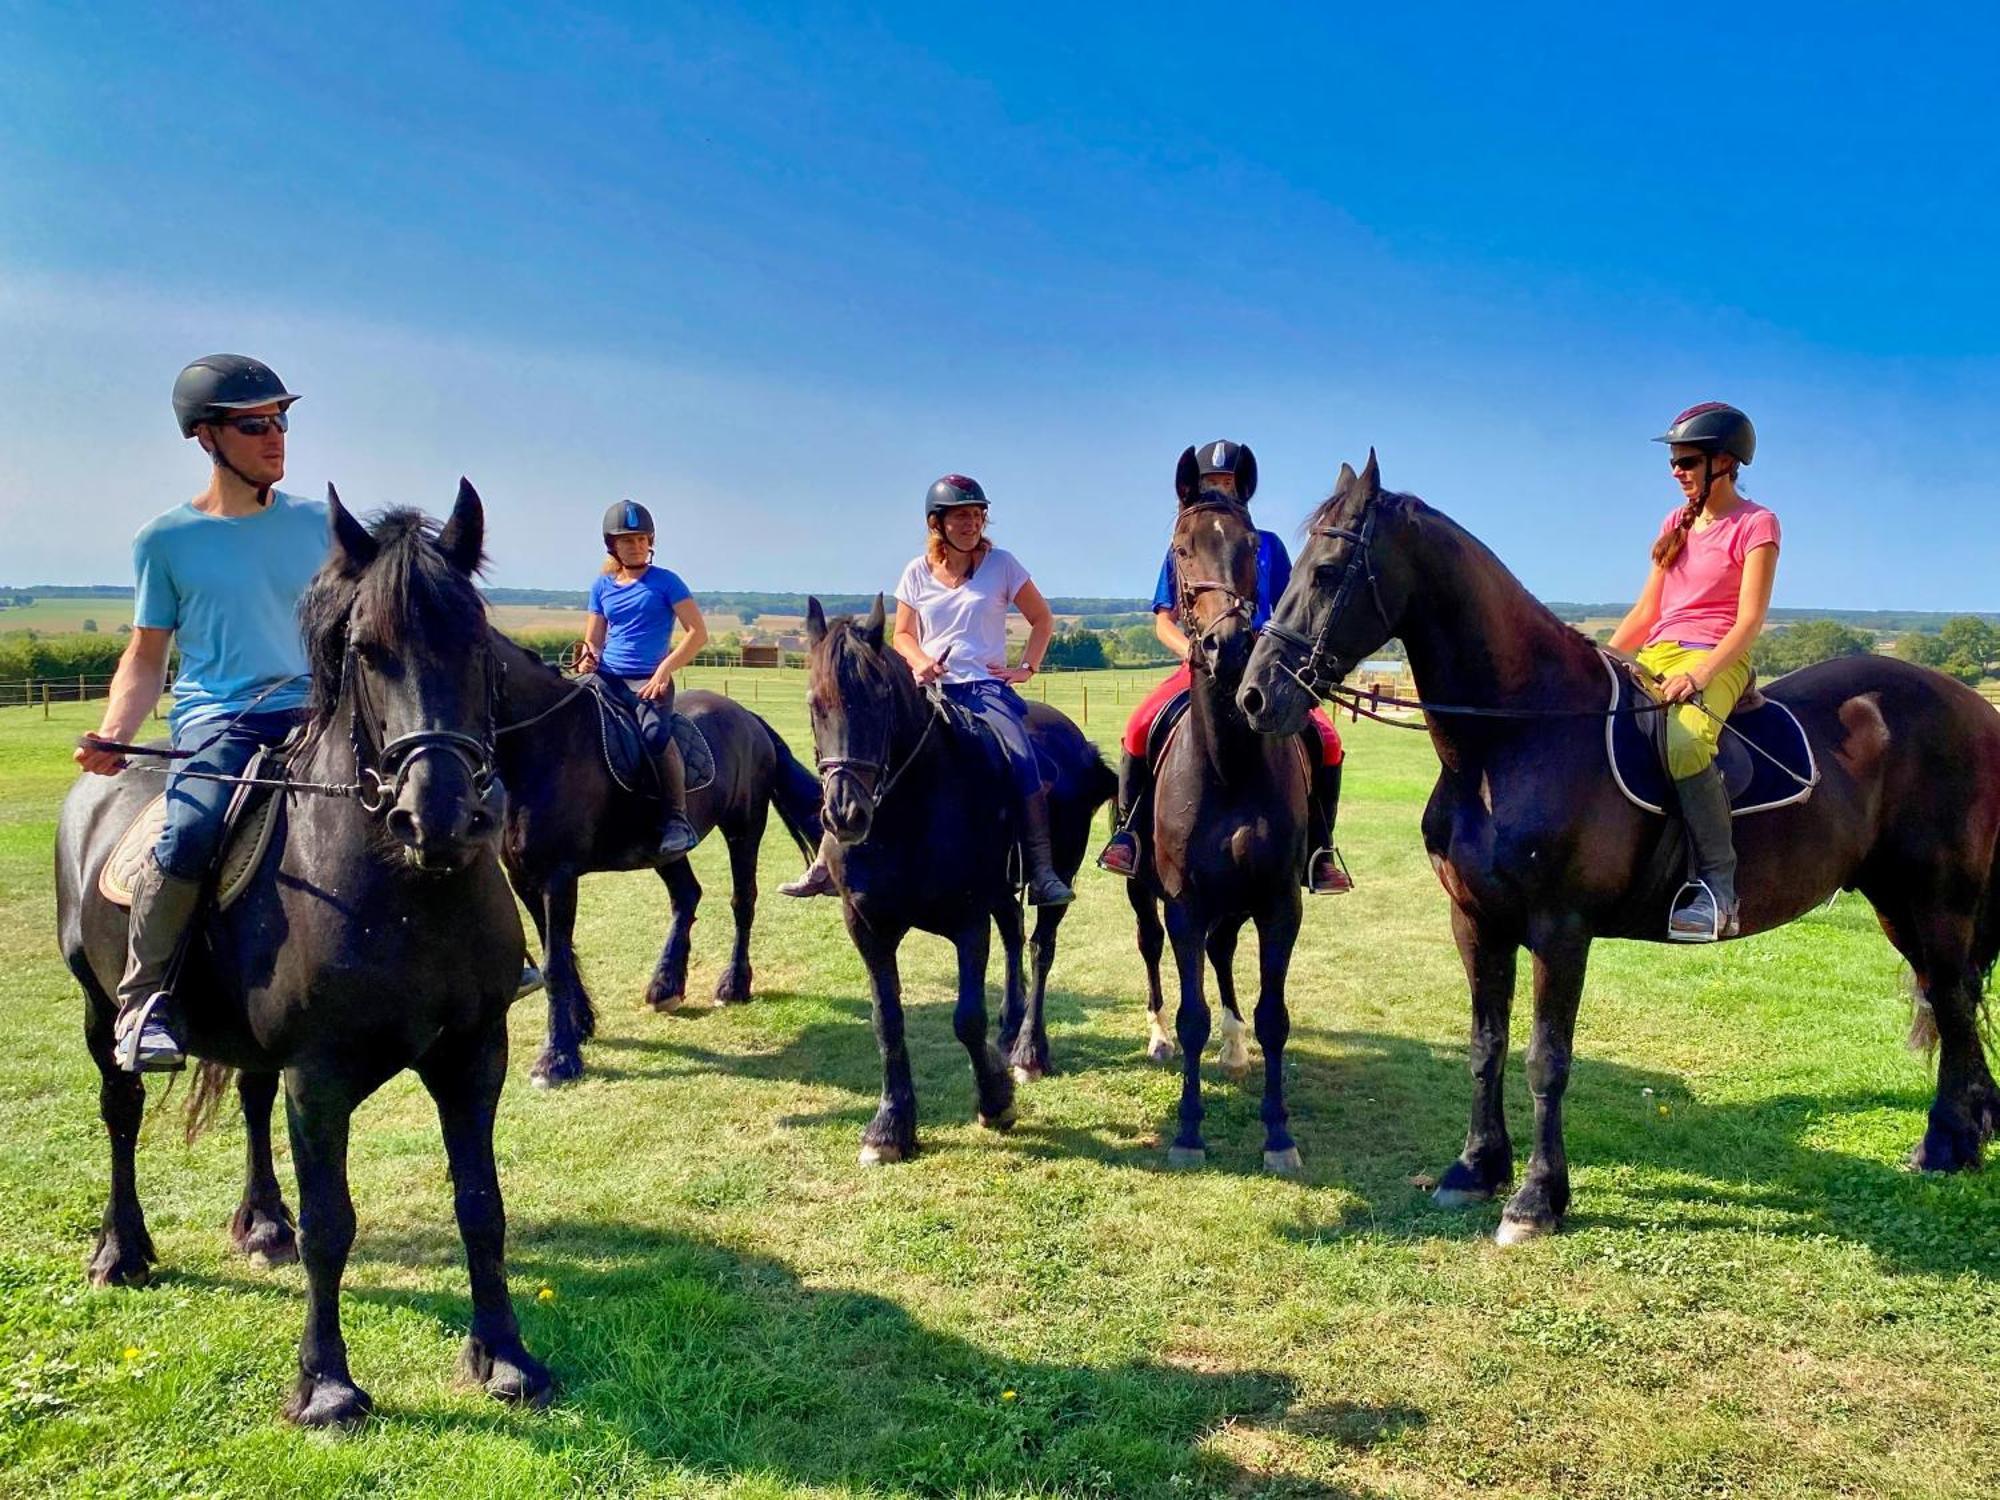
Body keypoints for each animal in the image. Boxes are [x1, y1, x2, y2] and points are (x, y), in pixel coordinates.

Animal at [56, 488, 556, 1424]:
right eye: (366, 651)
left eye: (478, 642)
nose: (437, 818)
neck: (405, 890)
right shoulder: (319, 1075)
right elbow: (334, 1224)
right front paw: (326, 1386)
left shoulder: (475, 1054)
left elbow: (482, 1205)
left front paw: (506, 1358)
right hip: (101, 1012)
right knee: (121, 1114)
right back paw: (121, 1251)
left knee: (250, 1102)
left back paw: (261, 1222)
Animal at [488, 636, 824, 1096]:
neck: (545, 744)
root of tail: (748, 717)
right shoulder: (524, 878)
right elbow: (558, 952)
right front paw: (579, 1025)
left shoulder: (557, 877)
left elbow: (555, 963)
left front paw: (556, 1060)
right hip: (665, 849)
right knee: (687, 894)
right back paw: (666, 984)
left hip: (744, 827)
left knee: (742, 902)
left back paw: (732, 985)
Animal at [800, 596, 1120, 1160]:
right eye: (817, 703)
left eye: (880, 700)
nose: (845, 814)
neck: (905, 813)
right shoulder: (866, 926)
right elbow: (887, 1021)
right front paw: (890, 1125)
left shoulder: (968, 920)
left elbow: (966, 1019)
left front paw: (996, 1101)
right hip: (1001, 892)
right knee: (1015, 936)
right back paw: (1011, 1028)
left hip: (1054, 880)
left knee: (1040, 948)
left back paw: (1029, 1049)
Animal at [1128, 494, 1312, 1176]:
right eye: (1181, 550)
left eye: (1251, 546)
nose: (1227, 644)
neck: (1228, 765)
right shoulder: (1184, 903)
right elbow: (1191, 1016)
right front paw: (1187, 1130)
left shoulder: (1279, 904)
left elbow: (1273, 1017)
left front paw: (1279, 1134)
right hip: (1143, 894)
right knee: (1151, 949)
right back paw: (1155, 1036)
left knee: (1225, 952)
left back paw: (1235, 1049)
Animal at [1240, 456, 2000, 1248]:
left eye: (1328, 572)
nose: (1256, 696)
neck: (1516, 735)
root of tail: (1972, 707)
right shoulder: (1476, 922)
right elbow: (1486, 1046)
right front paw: (1475, 1169)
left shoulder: (1560, 930)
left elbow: (1546, 1060)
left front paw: (1536, 1199)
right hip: (1898, 906)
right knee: (1949, 999)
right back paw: (1967, 1134)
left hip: (1937, 901)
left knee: (1952, 999)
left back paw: (1944, 1145)